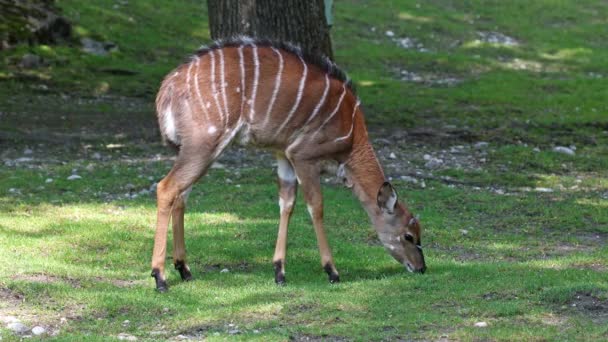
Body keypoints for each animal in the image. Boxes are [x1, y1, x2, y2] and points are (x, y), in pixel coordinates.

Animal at [151, 36, 428, 292]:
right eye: (409, 235)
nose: (421, 268)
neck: (351, 138)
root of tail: (168, 87)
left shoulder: (284, 155)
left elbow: (287, 204)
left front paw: (279, 272)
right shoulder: (303, 156)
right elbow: (316, 207)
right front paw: (332, 271)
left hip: (192, 148)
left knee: (181, 195)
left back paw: (184, 269)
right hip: (204, 143)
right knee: (166, 187)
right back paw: (160, 277)